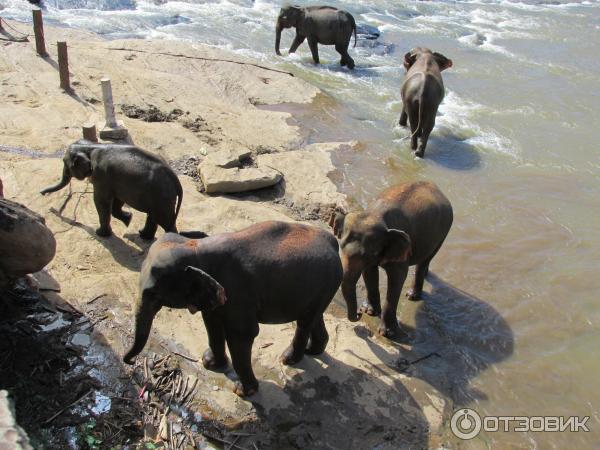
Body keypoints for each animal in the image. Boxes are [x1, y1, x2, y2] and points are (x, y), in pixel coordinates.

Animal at [40, 141, 183, 241]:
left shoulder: (101, 175)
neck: (91, 146)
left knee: (164, 220)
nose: (42, 193)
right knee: (153, 216)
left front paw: (99, 234)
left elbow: (101, 201)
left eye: (65, 163)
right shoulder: (114, 180)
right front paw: (128, 219)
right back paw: (142, 235)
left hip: (162, 197)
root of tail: (175, 179)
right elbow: (117, 200)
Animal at [122, 221, 342, 398]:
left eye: (153, 294)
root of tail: (333, 241)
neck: (196, 248)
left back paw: (288, 359)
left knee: (304, 322)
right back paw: (313, 351)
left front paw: (243, 392)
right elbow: (211, 323)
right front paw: (209, 363)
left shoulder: (237, 292)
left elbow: (241, 334)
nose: (131, 362)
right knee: (313, 316)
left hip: (326, 281)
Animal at [330, 181, 452, 340]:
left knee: (426, 258)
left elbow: (398, 278)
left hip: (443, 232)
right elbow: (369, 273)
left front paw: (388, 333)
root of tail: (436, 187)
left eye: (369, 254)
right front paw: (369, 311)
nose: (358, 313)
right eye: (341, 246)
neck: (375, 214)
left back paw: (412, 296)